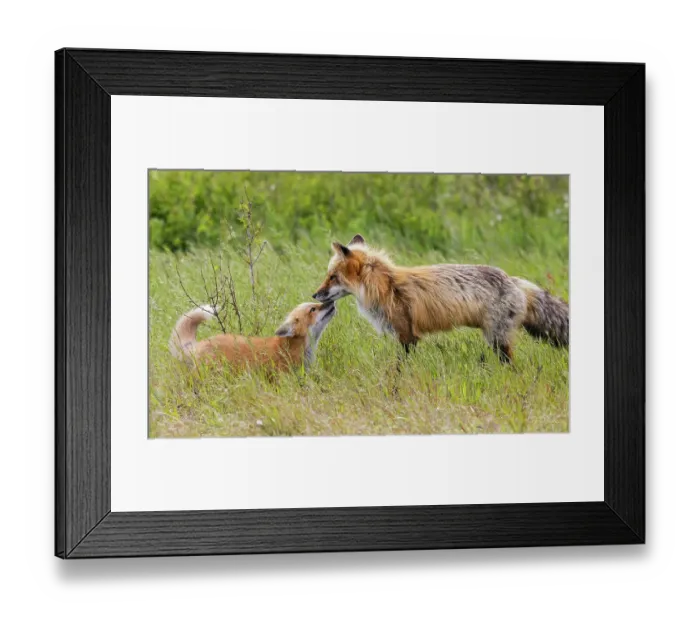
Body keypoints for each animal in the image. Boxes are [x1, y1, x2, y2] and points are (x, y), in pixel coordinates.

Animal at [312, 234, 568, 363]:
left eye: (332, 277)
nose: (314, 294)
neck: (386, 287)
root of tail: (513, 280)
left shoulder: (407, 335)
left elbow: (400, 367)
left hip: (497, 340)